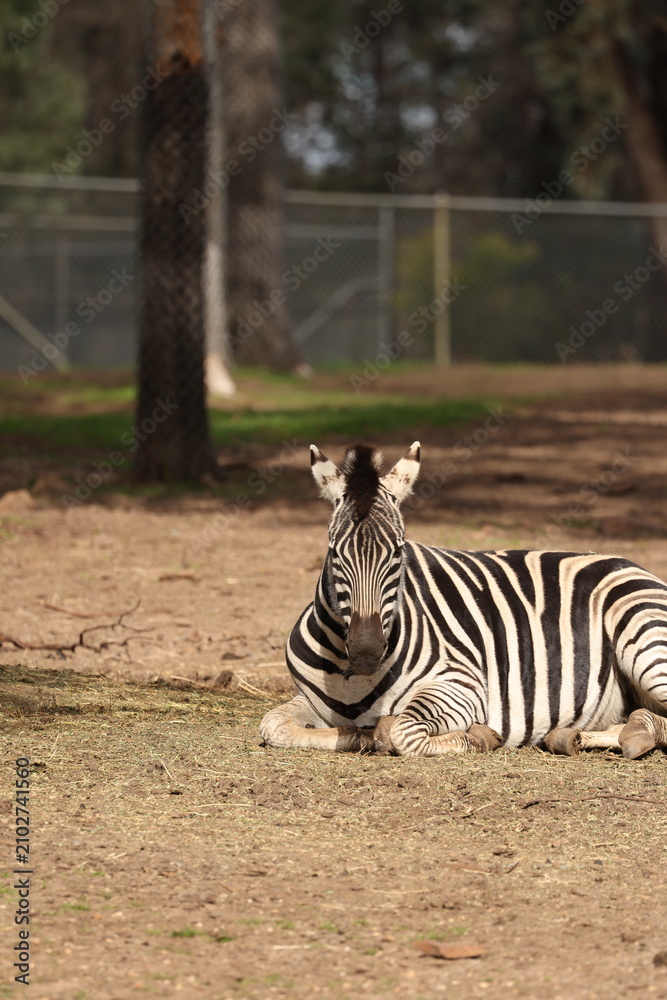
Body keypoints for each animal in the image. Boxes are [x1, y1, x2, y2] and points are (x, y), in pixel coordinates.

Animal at [260, 442, 667, 759]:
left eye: (398, 551)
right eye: (334, 553)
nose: (366, 650)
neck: (350, 676)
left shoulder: (463, 685)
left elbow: (402, 732)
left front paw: (478, 736)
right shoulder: (310, 700)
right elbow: (273, 726)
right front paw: (362, 737)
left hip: (645, 638)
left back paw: (635, 734)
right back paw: (577, 736)